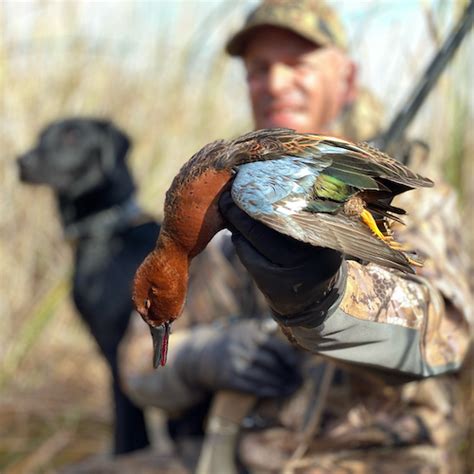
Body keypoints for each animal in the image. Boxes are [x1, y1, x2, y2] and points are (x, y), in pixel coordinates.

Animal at [17, 116, 160, 454]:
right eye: (42, 136)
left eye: (73, 136)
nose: (22, 162)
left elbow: (128, 427)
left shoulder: (116, 347)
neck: (107, 233)